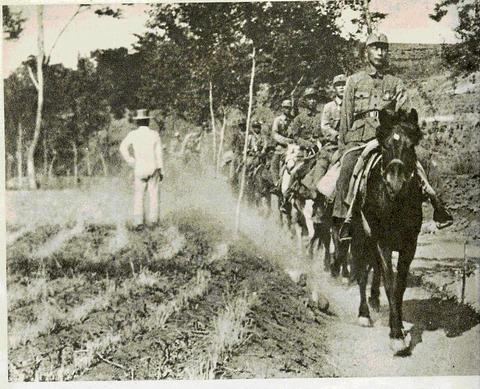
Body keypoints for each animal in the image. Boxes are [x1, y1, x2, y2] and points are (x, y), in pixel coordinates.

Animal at [350, 107, 422, 354]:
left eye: (411, 146)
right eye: (385, 147)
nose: (395, 184)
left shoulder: (410, 244)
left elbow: (399, 286)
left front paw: (398, 327)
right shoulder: (383, 241)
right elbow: (390, 283)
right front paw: (396, 334)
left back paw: (373, 301)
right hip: (361, 237)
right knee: (362, 273)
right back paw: (364, 313)